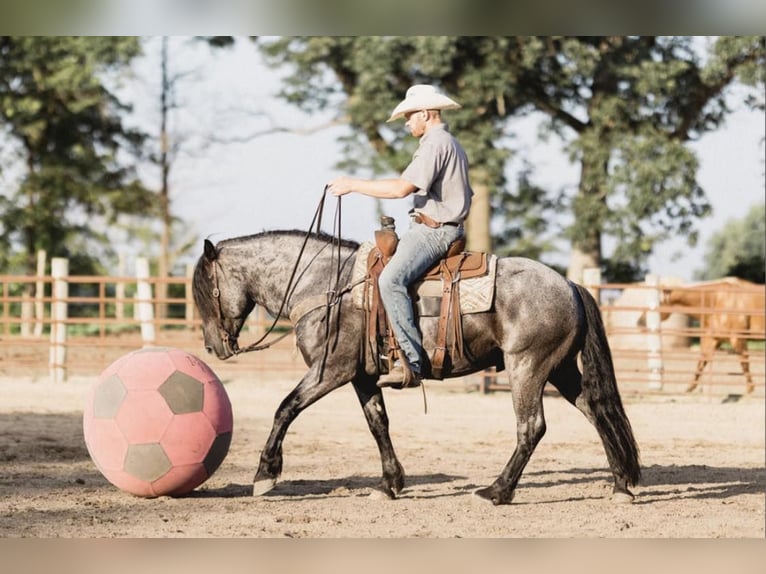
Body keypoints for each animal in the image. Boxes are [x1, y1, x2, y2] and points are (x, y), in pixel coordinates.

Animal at [192, 232, 640, 506]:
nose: (213, 346)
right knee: (596, 411)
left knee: (531, 427)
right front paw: (390, 483)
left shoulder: (329, 370)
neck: (325, 285)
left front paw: (264, 475)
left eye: (205, 292)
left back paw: (496, 491)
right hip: (560, 369)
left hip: (526, 366)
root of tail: (570, 285)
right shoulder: (361, 376)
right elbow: (378, 423)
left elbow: (285, 408)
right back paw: (621, 485)